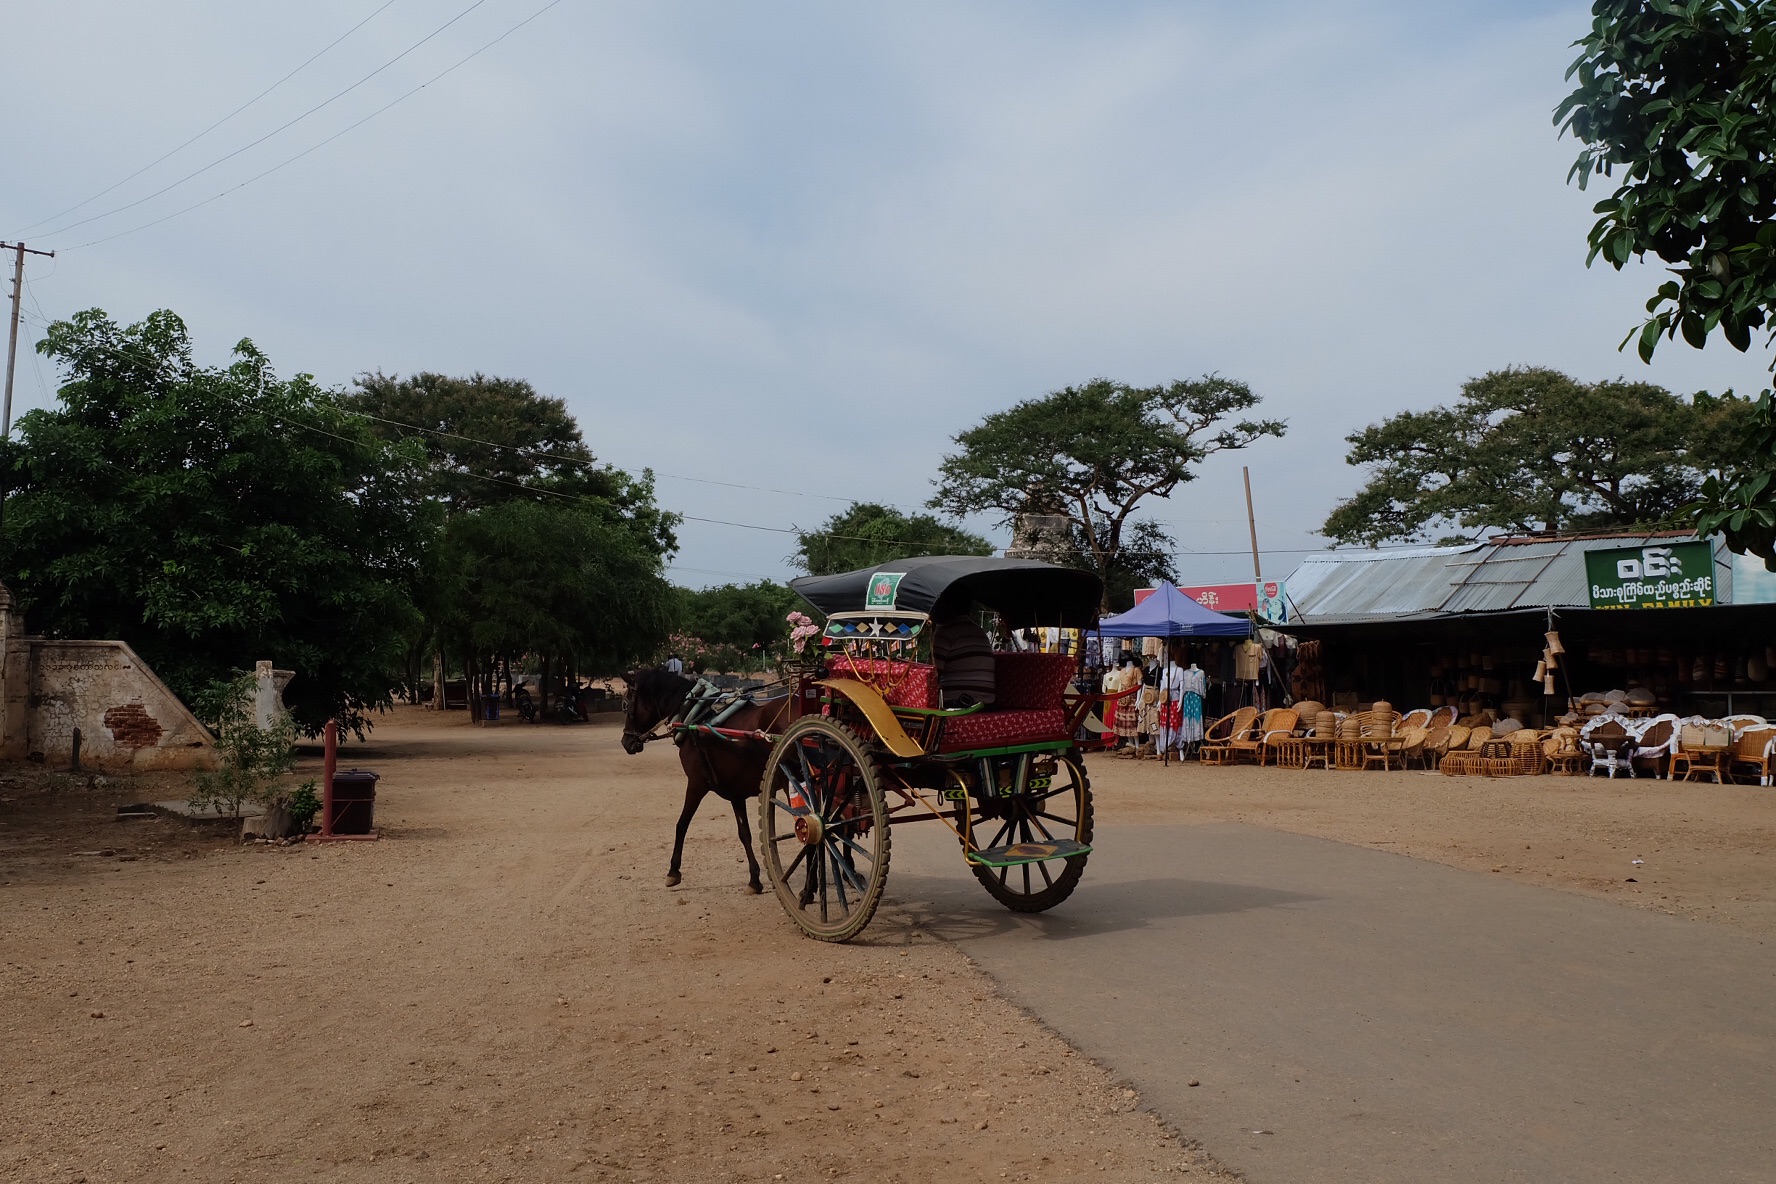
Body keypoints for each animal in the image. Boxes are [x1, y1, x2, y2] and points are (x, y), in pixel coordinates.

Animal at [621, 670, 795, 894]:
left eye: (627, 705)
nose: (626, 742)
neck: (696, 719)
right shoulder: (735, 792)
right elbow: (744, 833)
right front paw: (754, 879)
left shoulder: (696, 784)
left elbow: (681, 824)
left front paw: (673, 871)